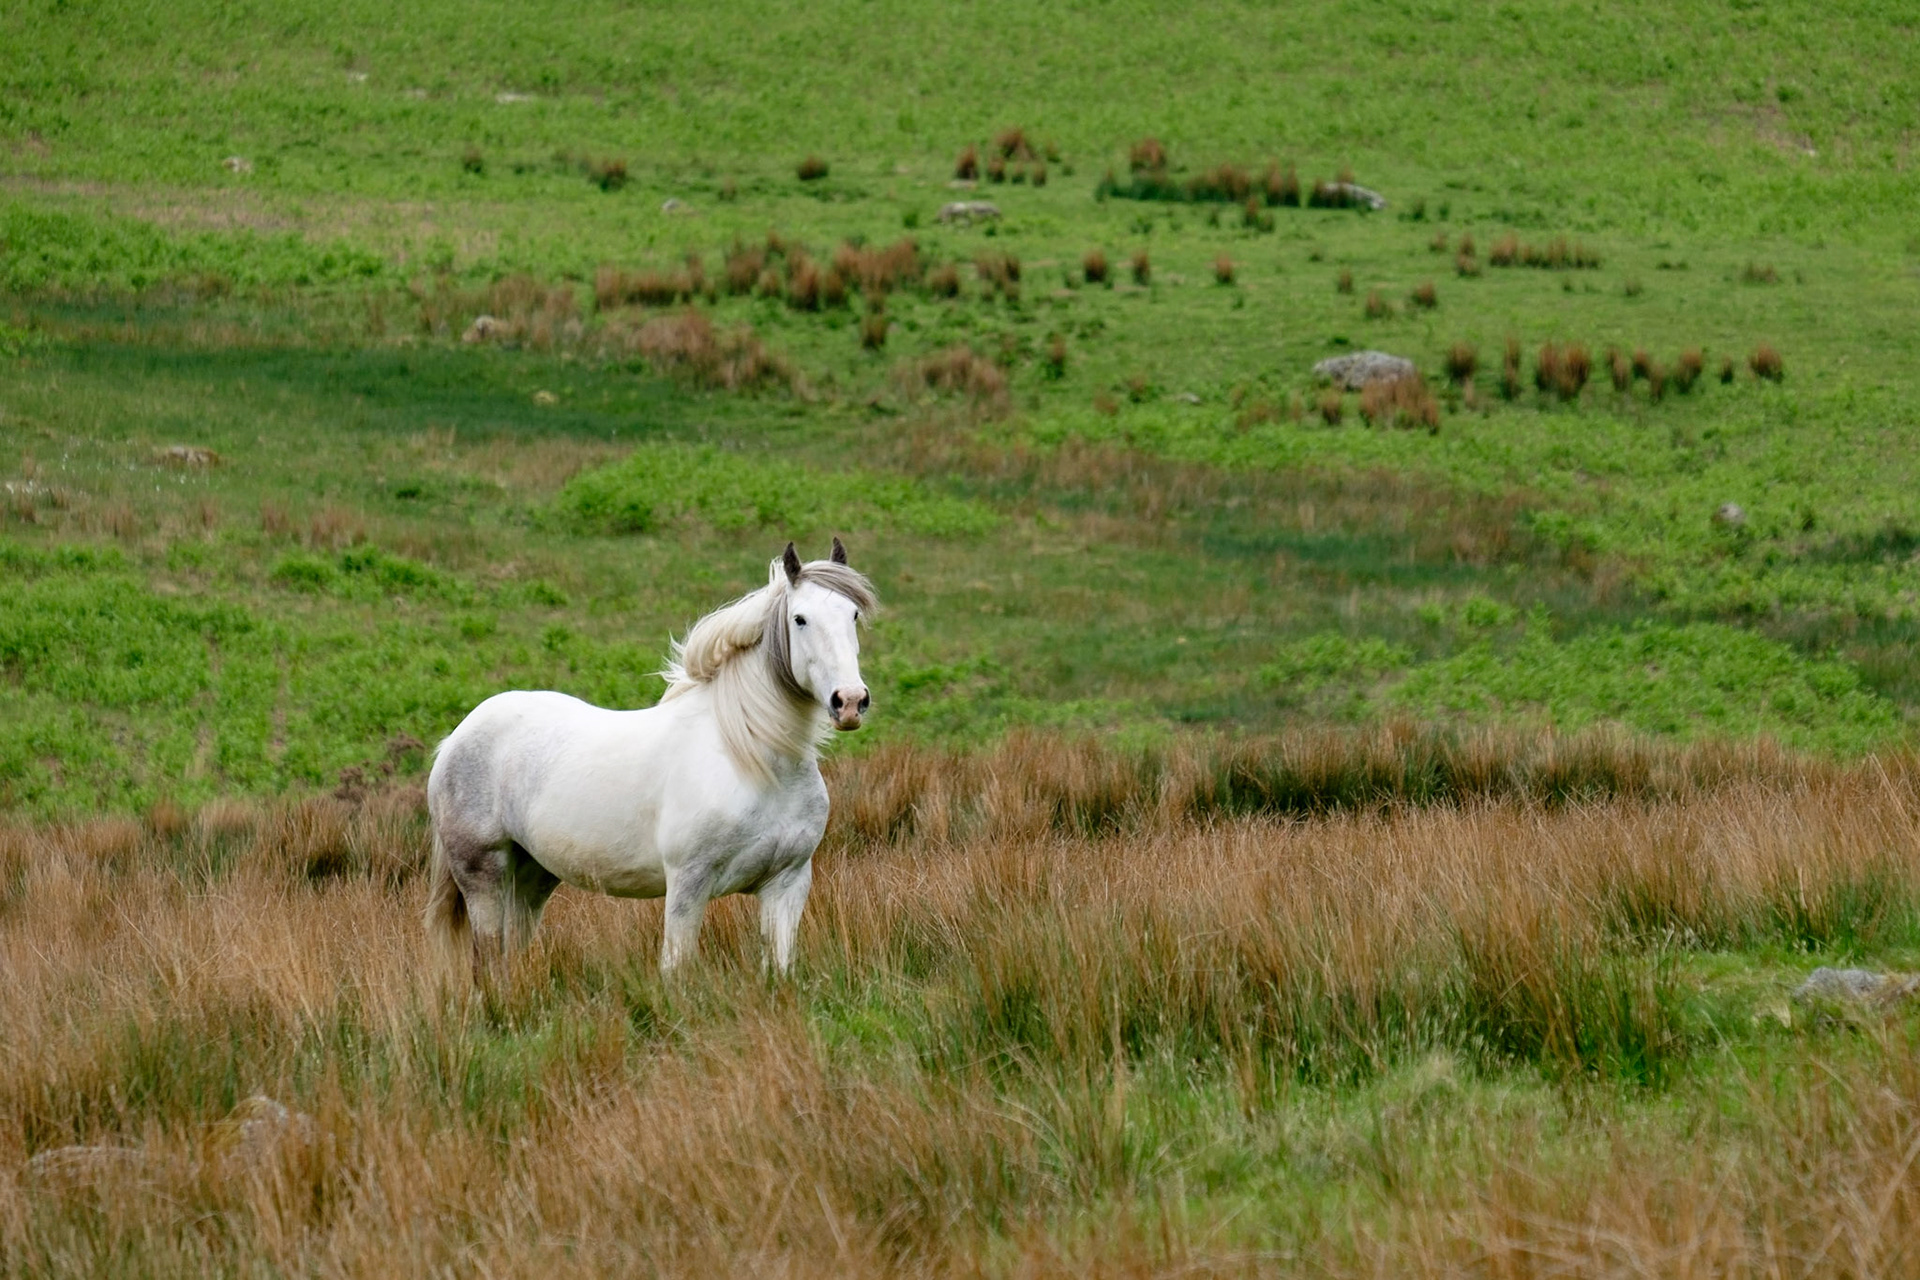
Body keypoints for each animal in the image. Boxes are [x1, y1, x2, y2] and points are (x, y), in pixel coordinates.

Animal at [424, 539, 876, 977]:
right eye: (800, 619)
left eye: (853, 614)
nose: (850, 702)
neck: (753, 761)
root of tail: (457, 737)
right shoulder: (689, 883)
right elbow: (676, 968)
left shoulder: (787, 884)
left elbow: (780, 968)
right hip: (484, 872)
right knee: (487, 957)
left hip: (534, 874)